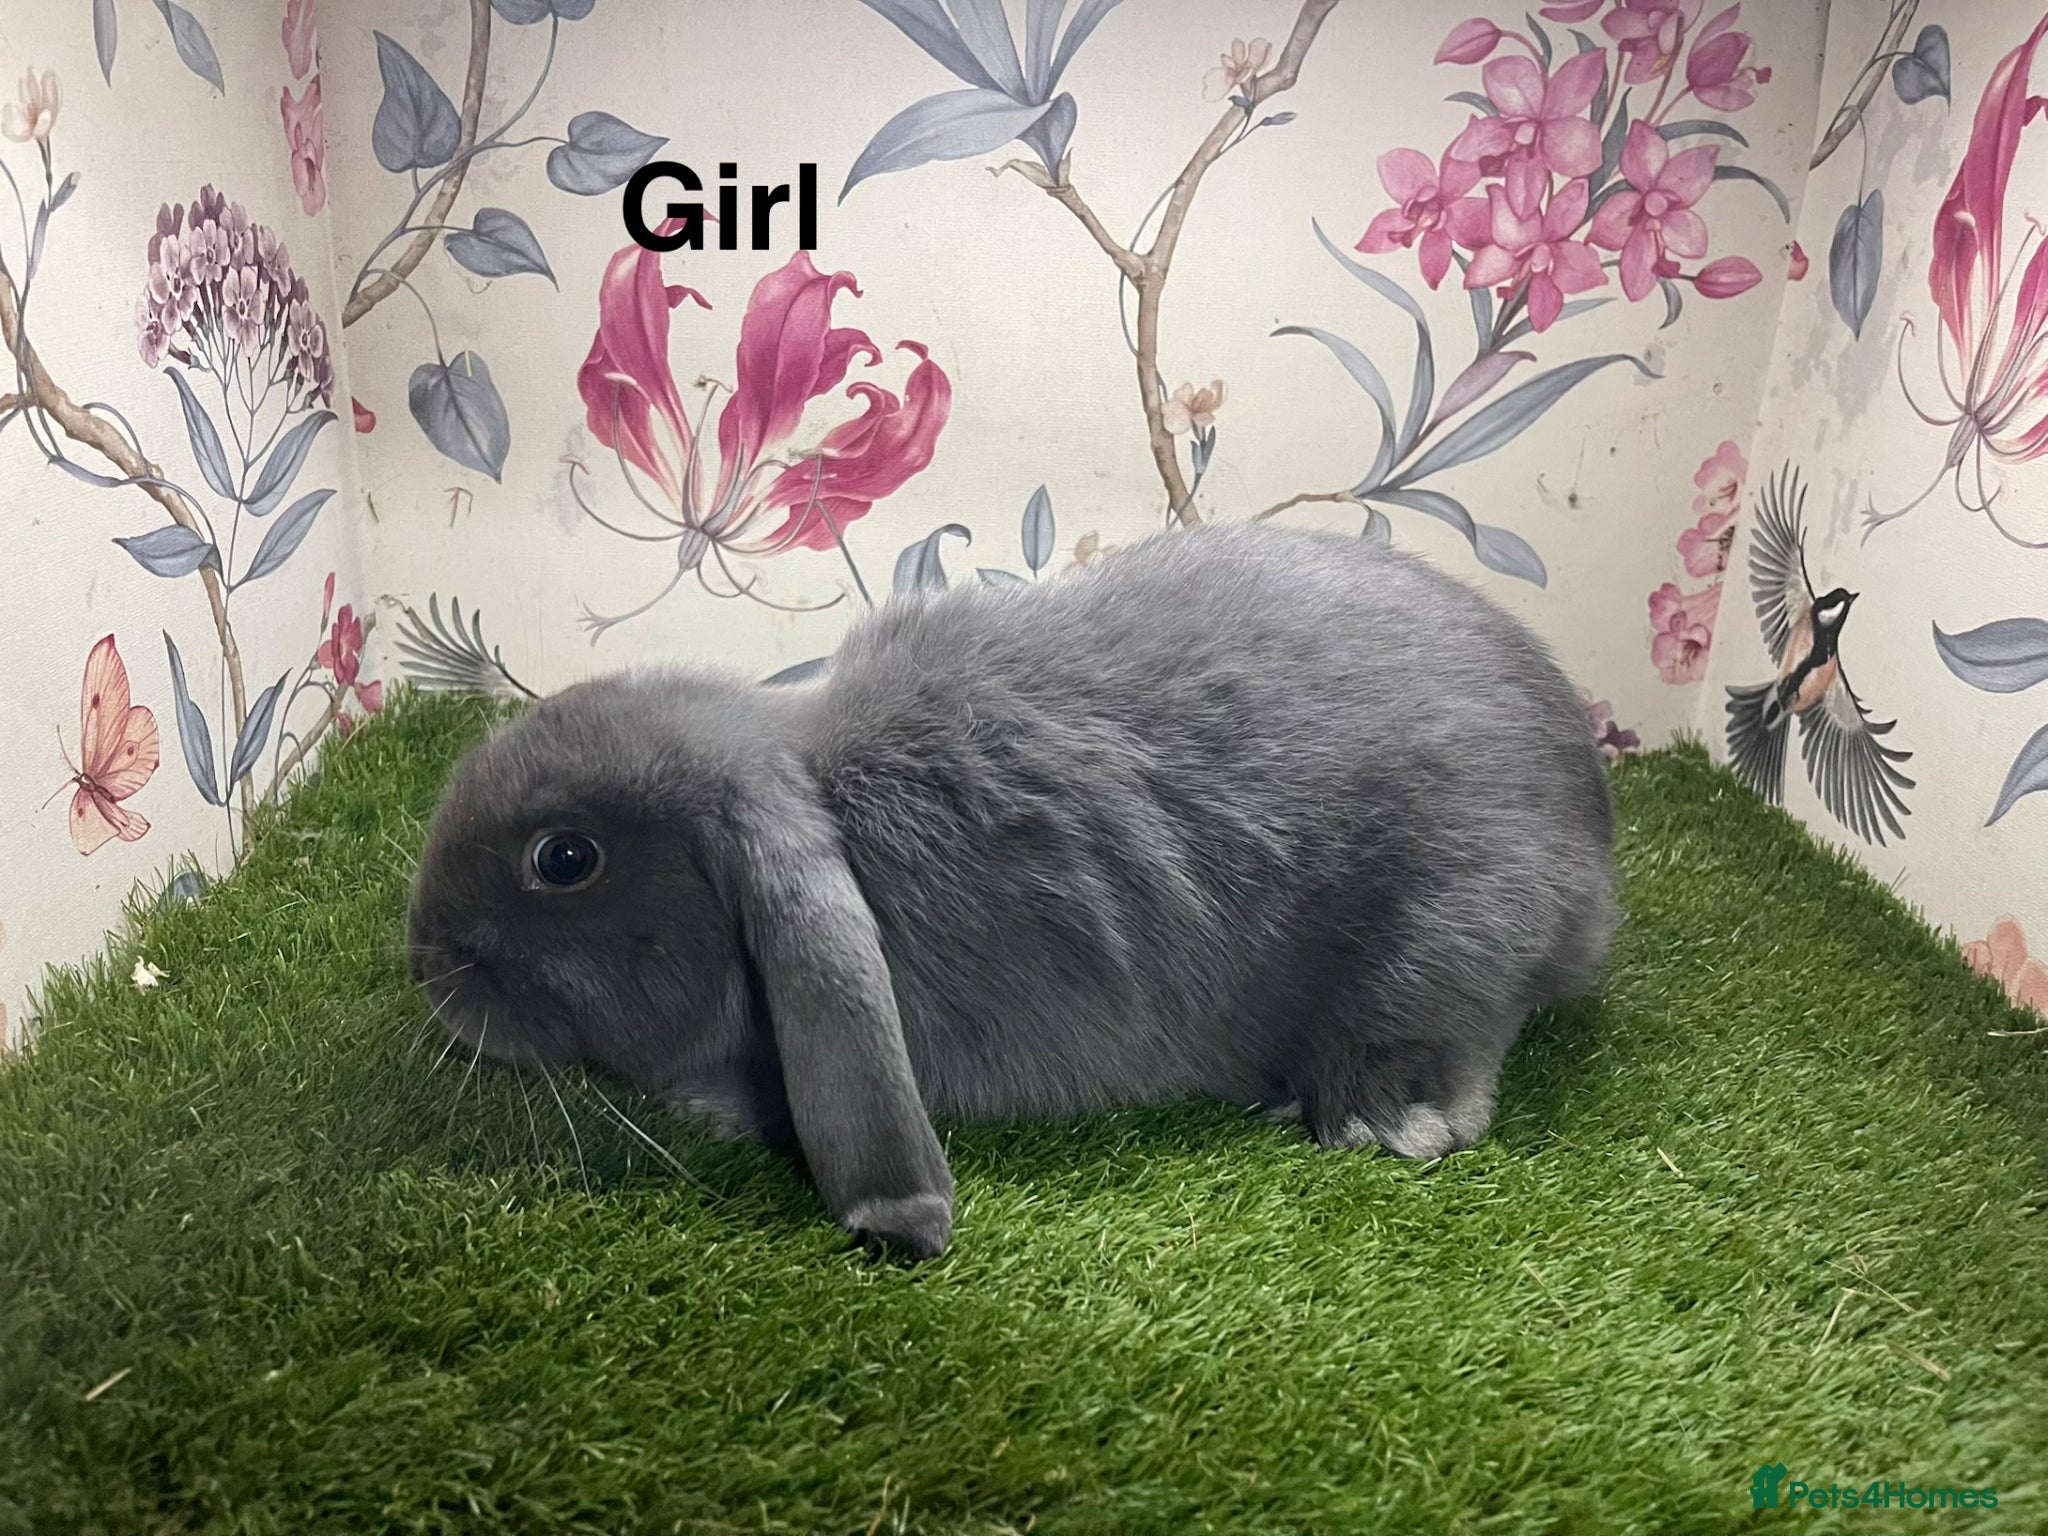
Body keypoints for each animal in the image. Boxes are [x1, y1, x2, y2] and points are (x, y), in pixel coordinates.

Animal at [407, 521, 1618, 1259]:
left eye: (564, 859)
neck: (813, 783)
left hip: (1450, 932)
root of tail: (1593, 852)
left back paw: (1368, 1115)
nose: (425, 966)